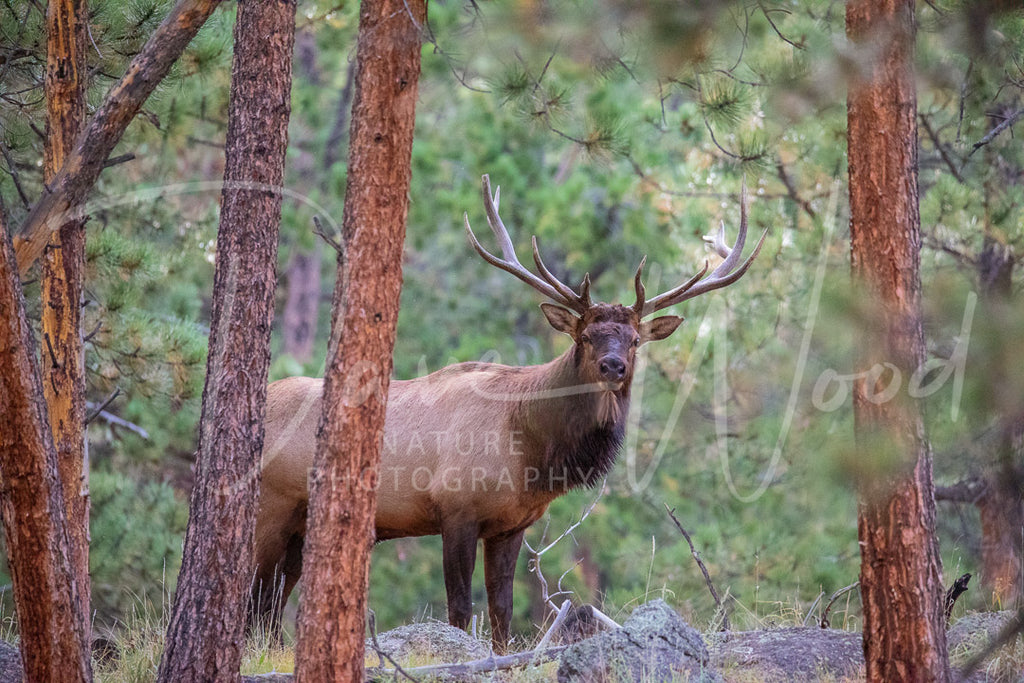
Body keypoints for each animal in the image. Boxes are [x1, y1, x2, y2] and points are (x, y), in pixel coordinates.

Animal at [251, 174, 765, 651]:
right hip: (273, 507)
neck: (530, 452)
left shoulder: (511, 525)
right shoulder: (455, 507)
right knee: (259, 599)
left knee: (270, 605)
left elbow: (502, 609)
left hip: (300, 526)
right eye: (585, 336)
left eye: (635, 339)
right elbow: (460, 608)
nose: (613, 366)